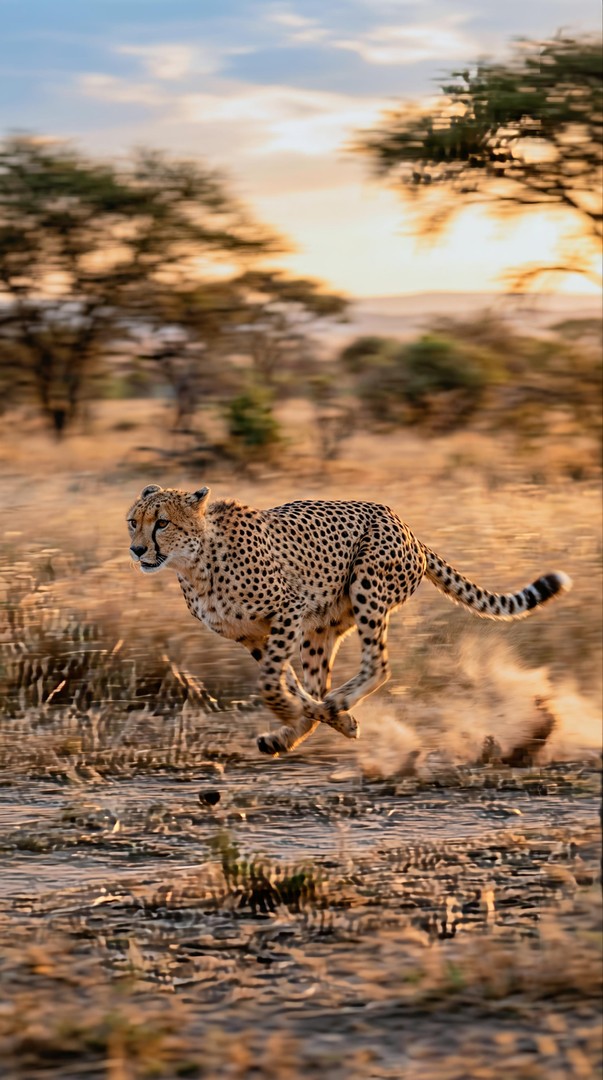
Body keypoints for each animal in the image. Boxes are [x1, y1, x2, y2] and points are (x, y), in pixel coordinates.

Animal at [127, 484, 572, 757]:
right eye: (134, 521)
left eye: (162, 522)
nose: (136, 550)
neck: (196, 563)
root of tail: (403, 523)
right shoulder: (254, 637)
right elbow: (289, 684)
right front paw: (311, 718)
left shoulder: (289, 609)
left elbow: (271, 681)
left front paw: (294, 713)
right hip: (321, 627)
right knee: (319, 682)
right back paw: (306, 727)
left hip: (367, 588)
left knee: (378, 665)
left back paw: (335, 705)